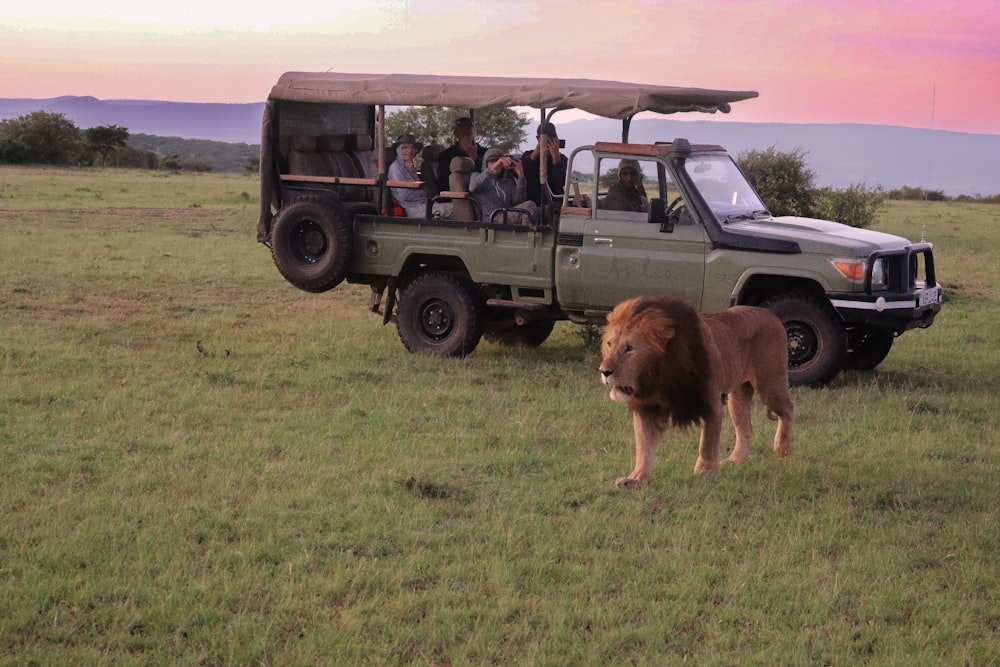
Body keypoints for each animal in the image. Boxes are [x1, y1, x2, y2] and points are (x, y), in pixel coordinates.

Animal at [596, 294, 792, 488]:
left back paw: (782, 447)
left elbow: (708, 442)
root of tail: (770, 314)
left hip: (769, 384)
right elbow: (645, 446)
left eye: (629, 349)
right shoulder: (648, 408)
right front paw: (636, 478)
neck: (658, 376)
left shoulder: (710, 402)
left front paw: (706, 472)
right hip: (738, 395)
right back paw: (734, 461)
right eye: (609, 344)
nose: (604, 371)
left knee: (788, 408)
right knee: (746, 430)